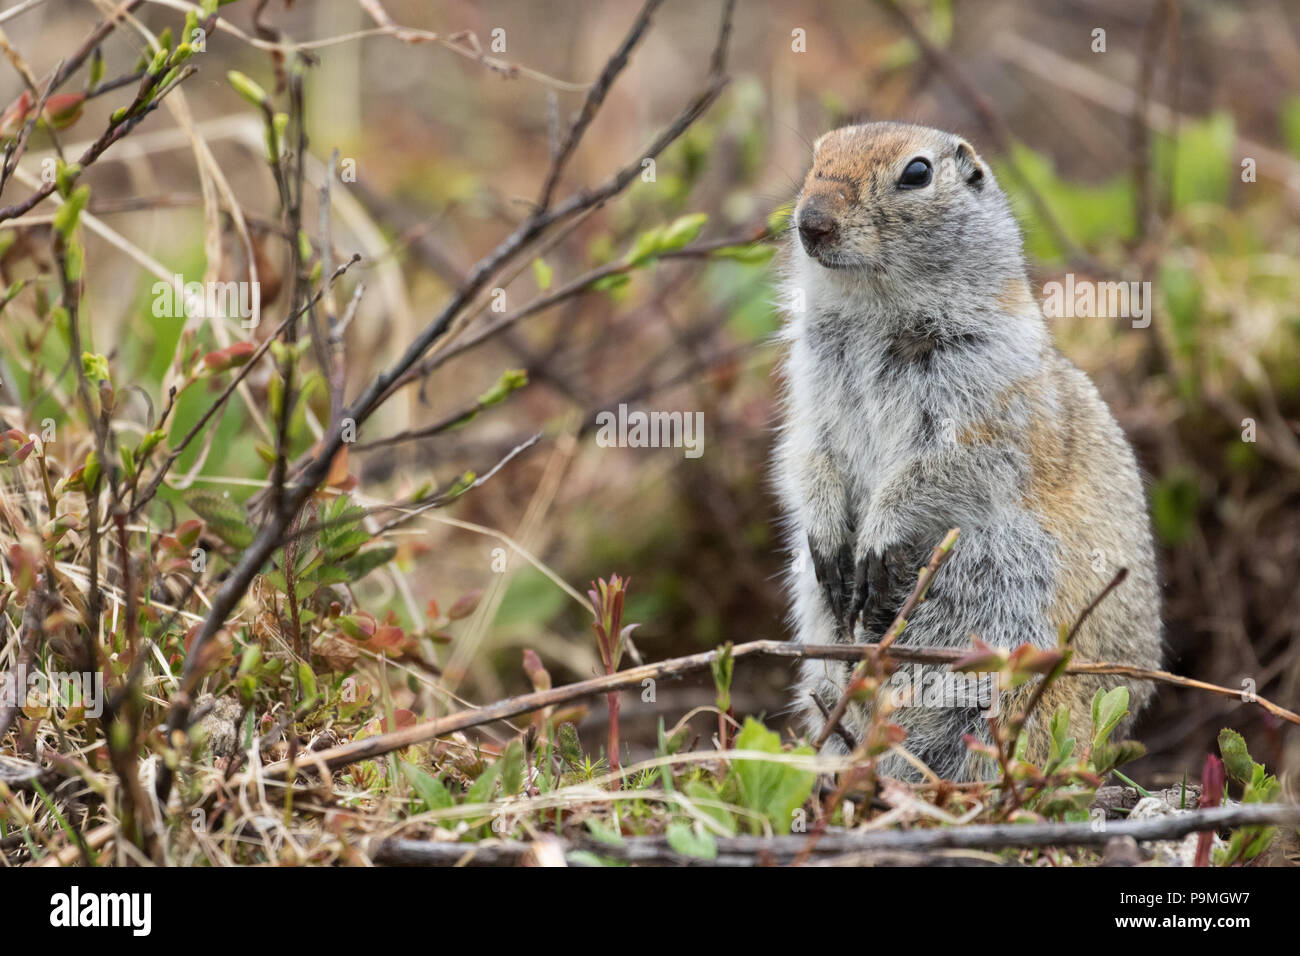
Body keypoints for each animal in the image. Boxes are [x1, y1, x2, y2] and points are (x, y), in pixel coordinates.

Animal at [774, 119, 1164, 780]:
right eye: (817, 156)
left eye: (917, 172)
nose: (812, 221)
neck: (872, 308)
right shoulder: (811, 393)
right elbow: (806, 455)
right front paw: (828, 541)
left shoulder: (985, 400)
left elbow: (942, 468)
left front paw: (876, 543)